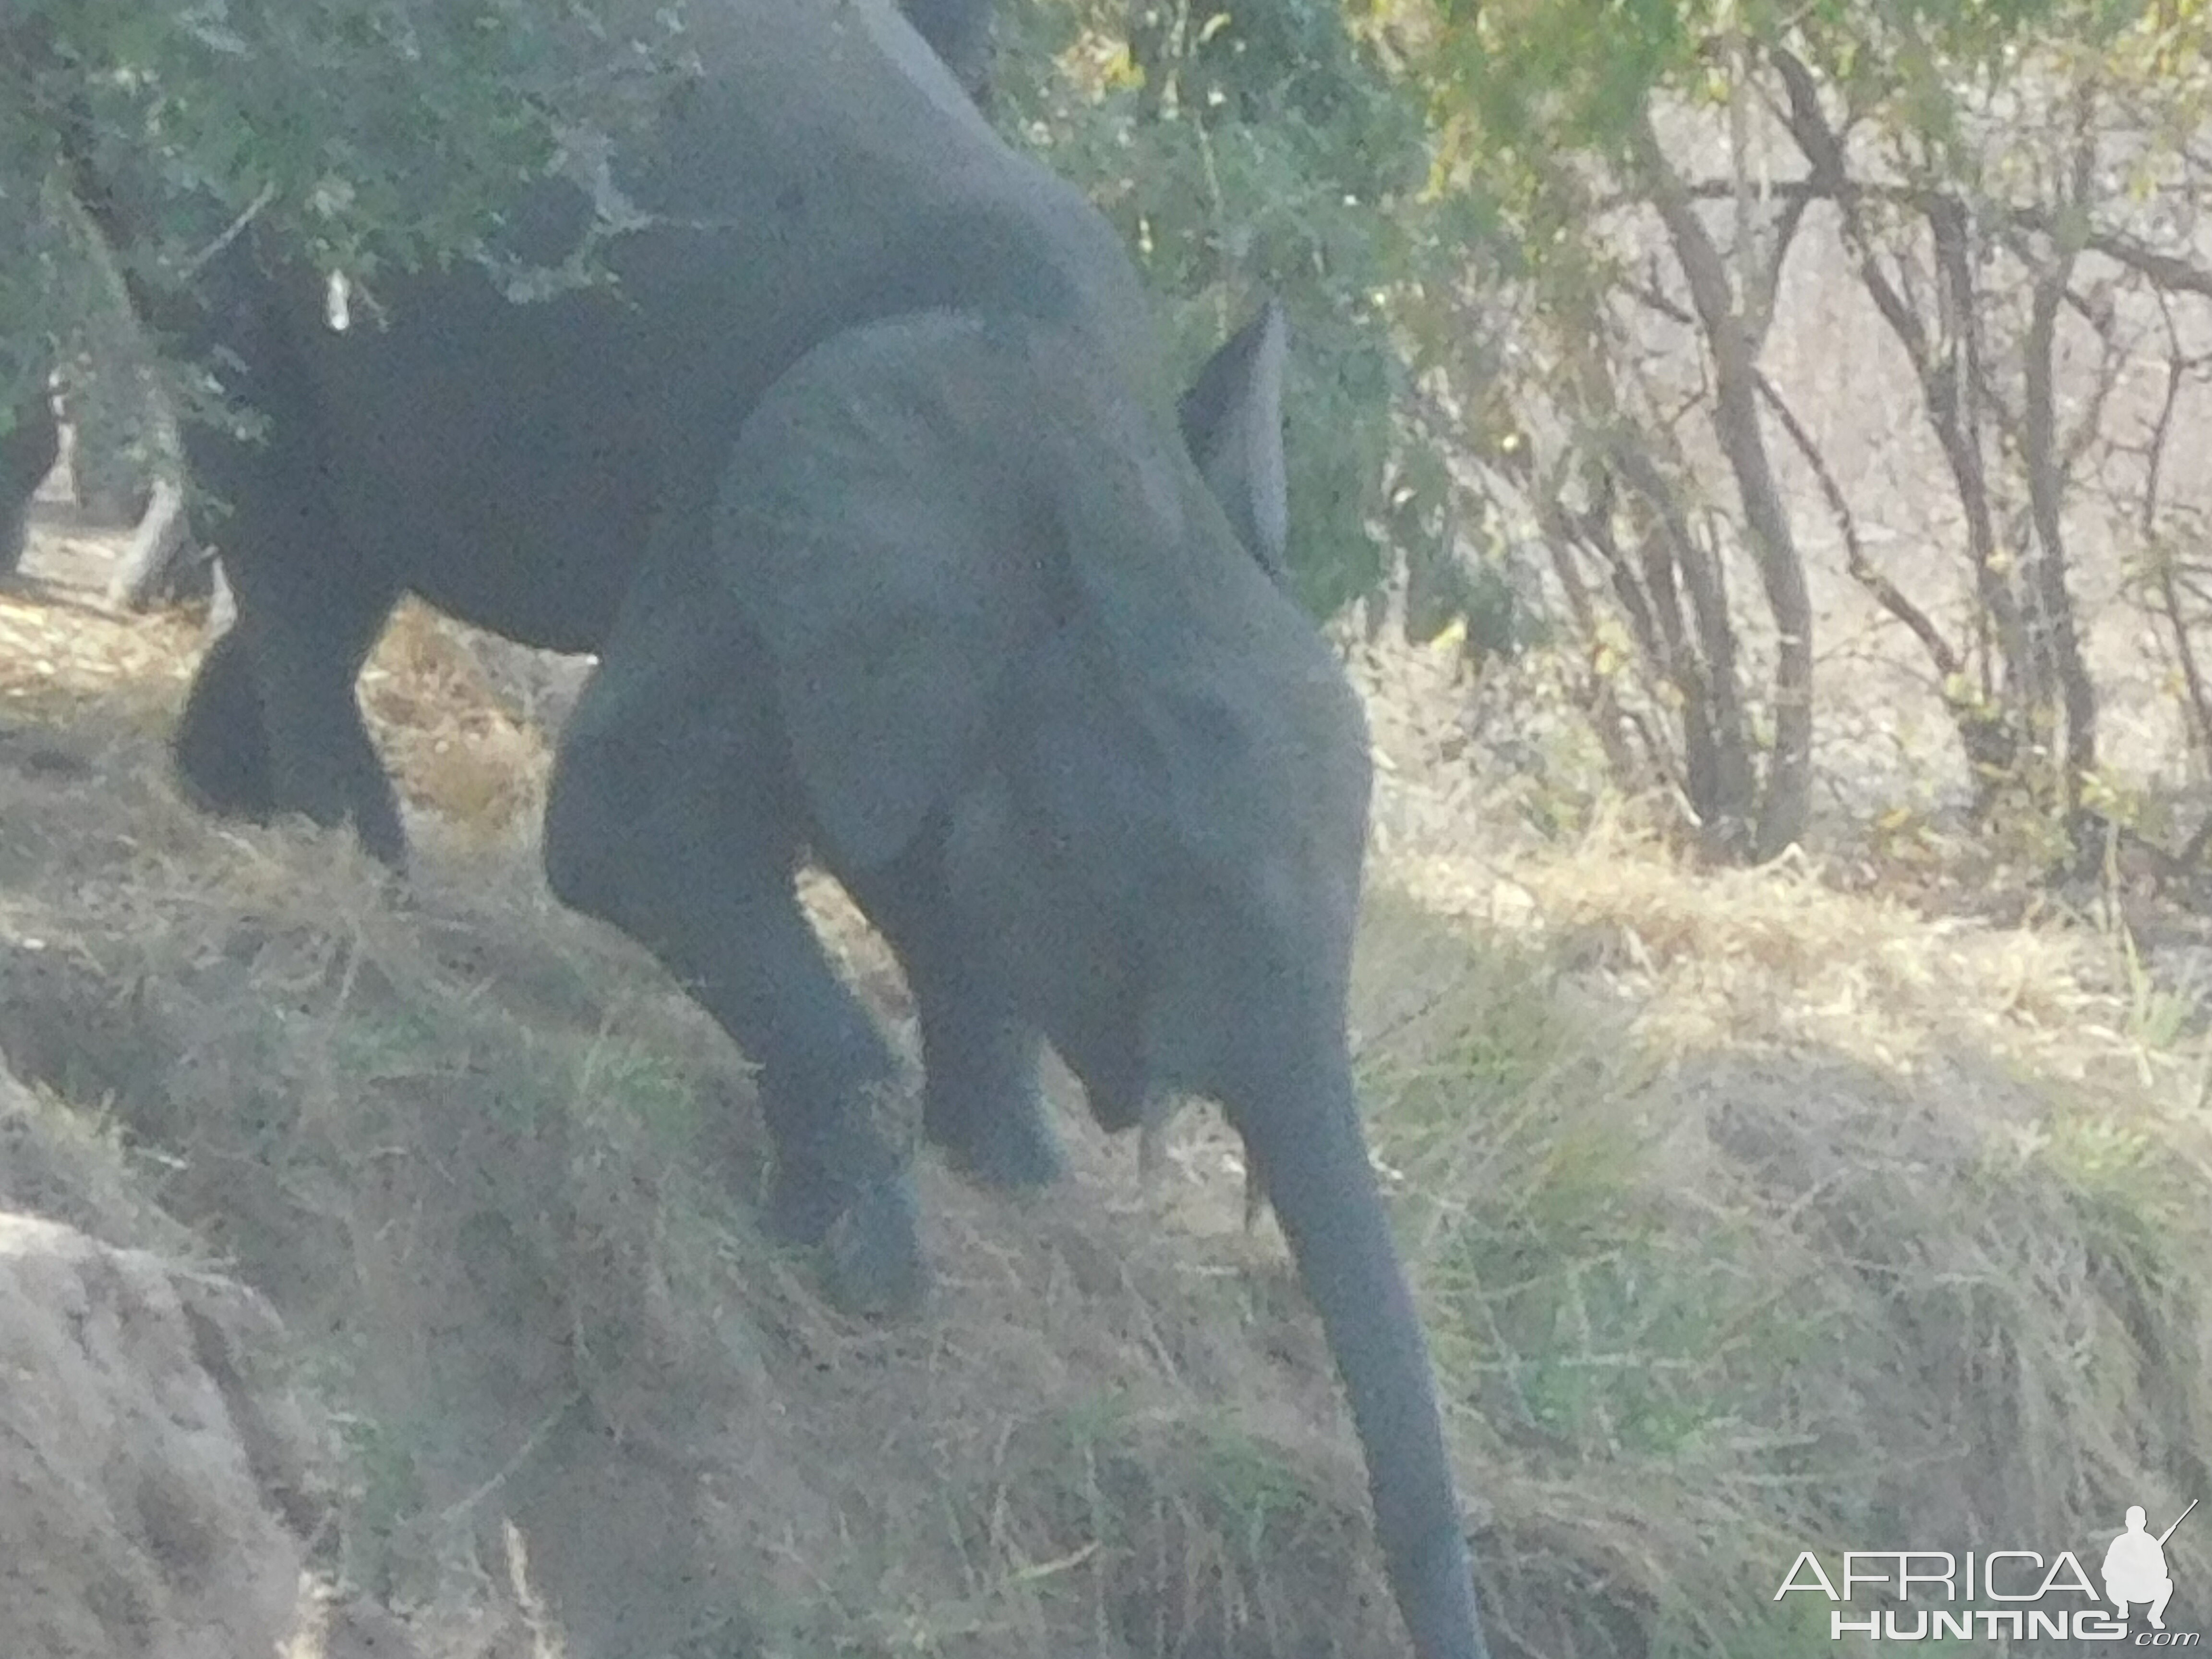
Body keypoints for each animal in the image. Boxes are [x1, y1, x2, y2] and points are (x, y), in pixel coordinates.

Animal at [52, 0, 1495, 1654]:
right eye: (1186, 889)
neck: (1102, 447)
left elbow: (927, 865)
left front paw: (1017, 1180)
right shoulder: (756, 479)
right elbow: (625, 825)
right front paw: (870, 1279)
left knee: (343, 525)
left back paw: (227, 799)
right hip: (205, 181)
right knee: (278, 479)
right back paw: (354, 866)